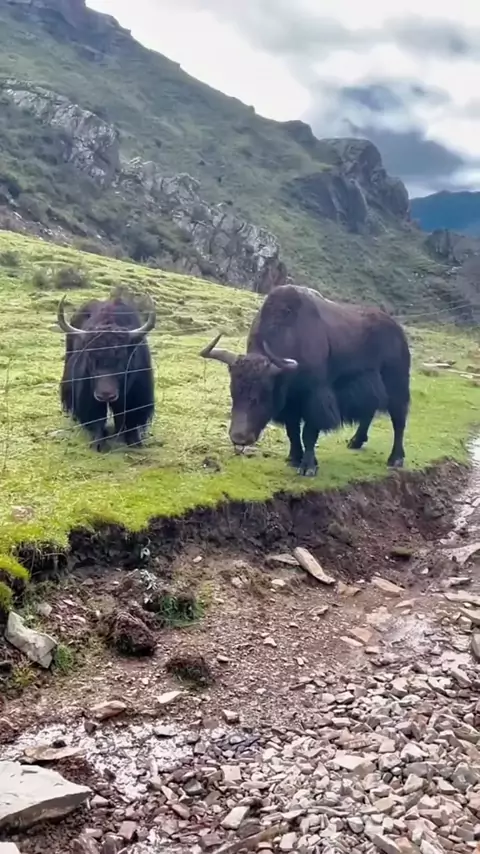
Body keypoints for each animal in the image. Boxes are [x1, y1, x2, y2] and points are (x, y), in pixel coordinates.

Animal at [57, 292, 156, 451]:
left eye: (122, 358)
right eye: (90, 357)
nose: (105, 395)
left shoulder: (137, 395)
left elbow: (130, 417)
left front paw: (135, 442)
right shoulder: (89, 394)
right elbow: (97, 417)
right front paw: (98, 444)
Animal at [199, 284, 410, 476]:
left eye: (262, 394)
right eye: (233, 391)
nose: (239, 438)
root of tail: (397, 329)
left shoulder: (314, 398)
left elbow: (308, 432)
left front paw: (308, 466)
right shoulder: (290, 404)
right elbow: (292, 431)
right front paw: (294, 458)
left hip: (397, 384)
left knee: (399, 419)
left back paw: (395, 459)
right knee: (369, 411)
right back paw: (355, 442)